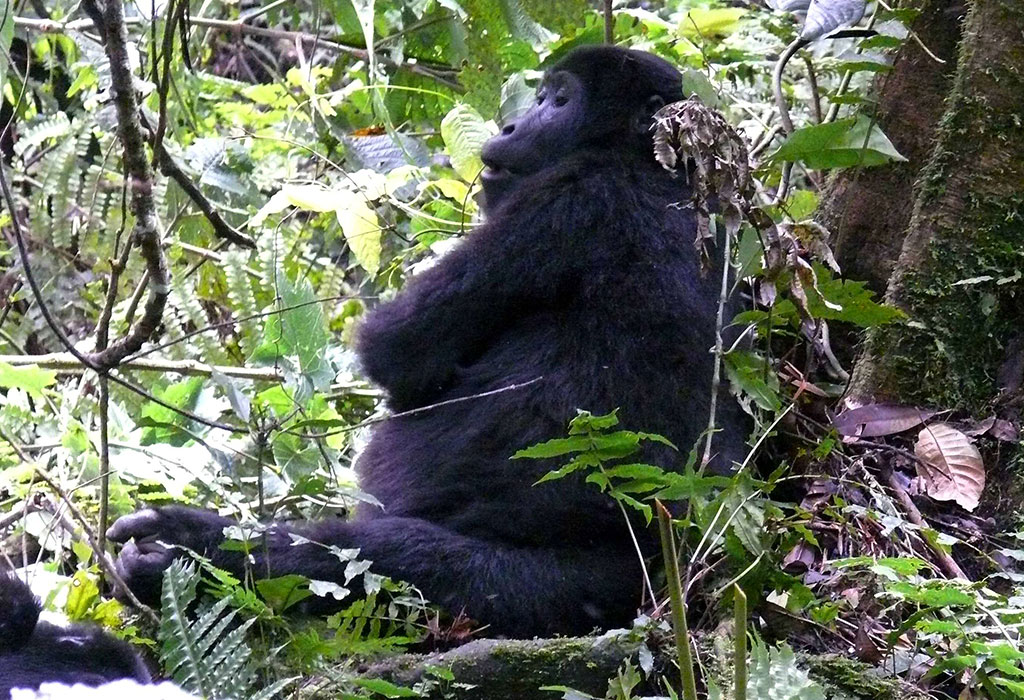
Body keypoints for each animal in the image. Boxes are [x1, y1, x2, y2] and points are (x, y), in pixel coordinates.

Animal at [105, 45, 745, 638]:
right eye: (540, 97)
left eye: (558, 100)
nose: (509, 127)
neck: (648, 163)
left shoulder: (568, 194)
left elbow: (395, 352)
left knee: (383, 559)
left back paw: (193, 552)